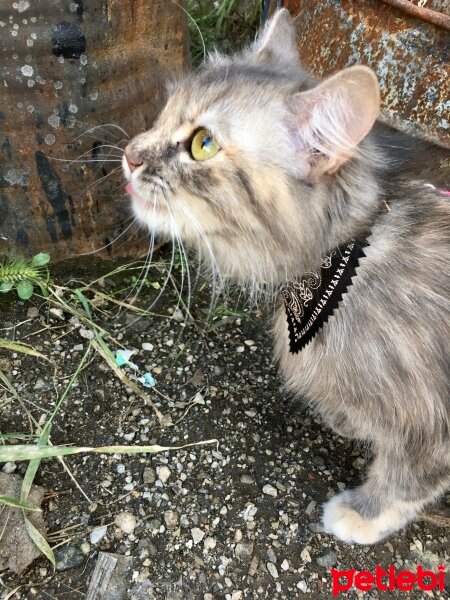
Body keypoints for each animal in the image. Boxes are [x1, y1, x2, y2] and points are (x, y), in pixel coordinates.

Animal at [121, 9, 448, 544]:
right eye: (163, 115)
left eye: (203, 144)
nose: (129, 154)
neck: (342, 264)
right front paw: (349, 419)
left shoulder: (430, 420)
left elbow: (405, 479)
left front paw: (362, 514)